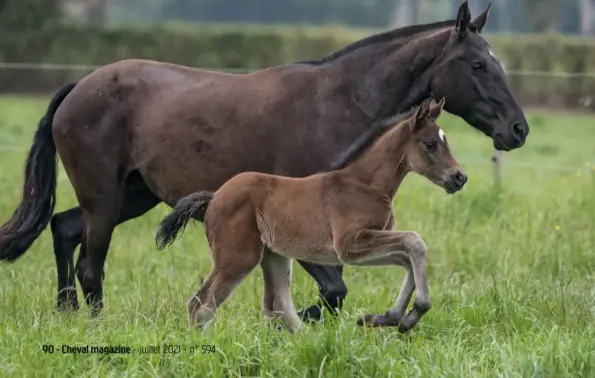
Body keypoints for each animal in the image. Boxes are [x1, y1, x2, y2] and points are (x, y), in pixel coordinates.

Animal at [156, 97, 468, 334]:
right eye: (430, 144)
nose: (459, 177)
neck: (364, 184)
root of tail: (214, 197)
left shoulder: (366, 243)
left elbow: (407, 257)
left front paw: (386, 317)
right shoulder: (348, 244)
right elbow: (414, 243)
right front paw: (412, 313)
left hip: (274, 255)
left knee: (277, 306)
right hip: (239, 257)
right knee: (202, 305)